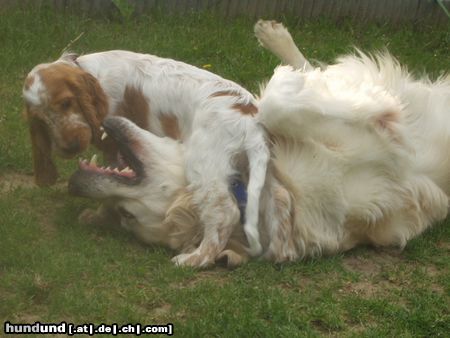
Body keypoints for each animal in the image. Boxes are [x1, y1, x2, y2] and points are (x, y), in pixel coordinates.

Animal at [22, 50, 268, 266]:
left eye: (66, 103)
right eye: (41, 120)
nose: (71, 147)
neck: (91, 72)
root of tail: (251, 123)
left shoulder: (117, 148)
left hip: (202, 163)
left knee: (224, 212)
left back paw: (196, 258)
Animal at [69, 22, 450, 268]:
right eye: (125, 215)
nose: (76, 182)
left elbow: (281, 102)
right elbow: (282, 104)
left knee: (313, 69)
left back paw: (277, 39)